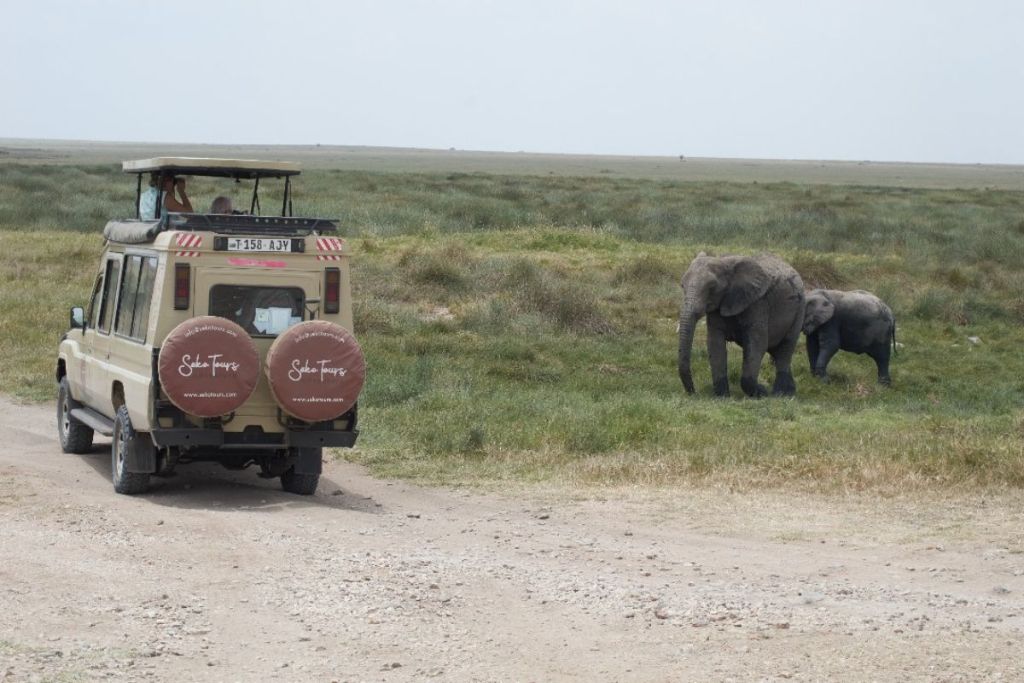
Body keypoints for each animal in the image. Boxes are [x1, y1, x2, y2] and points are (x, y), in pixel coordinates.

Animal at [679, 253, 806, 397]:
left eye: (712, 286)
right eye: (682, 285)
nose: (694, 392)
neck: (725, 261)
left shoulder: (758, 303)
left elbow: (757, 343)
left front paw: (762, 392)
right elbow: (714, 343)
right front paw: (722, 397)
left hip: (799, 310)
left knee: (786, 348)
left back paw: (780, 394)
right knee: (778, 352)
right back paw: (788, 392)